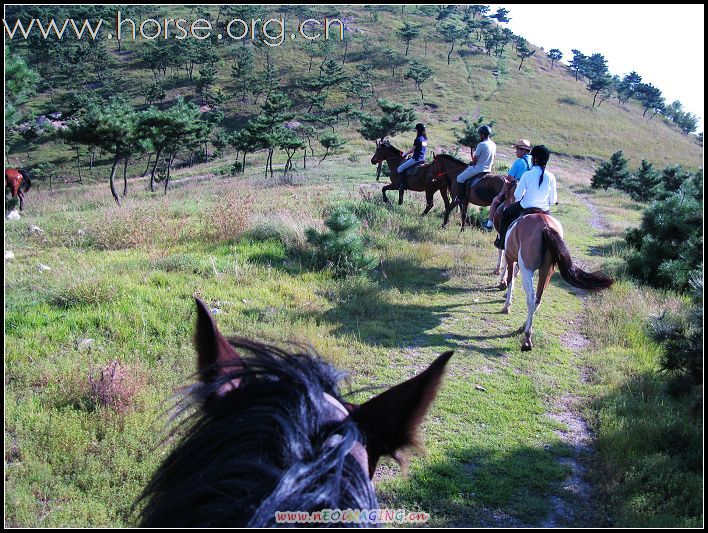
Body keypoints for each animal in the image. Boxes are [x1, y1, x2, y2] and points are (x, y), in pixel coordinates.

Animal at [498, 214, 612, 352]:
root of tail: (545, 225)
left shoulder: (510, 258)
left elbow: (511, 280)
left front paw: (506, 305)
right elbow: (514, 276)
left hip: (528, 269)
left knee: (531, 298)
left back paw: (527, 339)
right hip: (547, 271)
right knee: (538, 299)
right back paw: (525, 327)